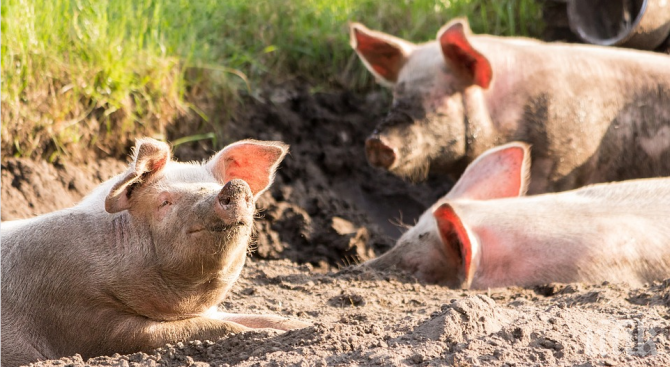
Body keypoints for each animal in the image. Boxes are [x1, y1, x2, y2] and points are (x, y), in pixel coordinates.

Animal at [0, 139, 310, 367]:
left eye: (213, 186)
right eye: (165, 202)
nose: (234, 185)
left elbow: (258, 317)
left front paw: (305, 326)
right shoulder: (83, 319)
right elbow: (206, 328)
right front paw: (268, 335)